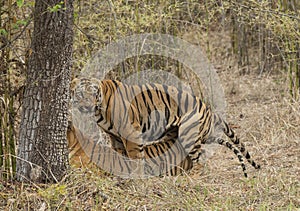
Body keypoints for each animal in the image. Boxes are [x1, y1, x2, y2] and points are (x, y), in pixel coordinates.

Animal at [70, 77, 260, 176]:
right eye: (80, 94)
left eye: (93, 93)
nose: (87, 105)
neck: (99, 111)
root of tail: (209, 109)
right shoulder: (114, 136)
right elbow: (119, 154)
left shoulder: (131, 131)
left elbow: (135, 156)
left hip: (188, 134)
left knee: (200, 159)